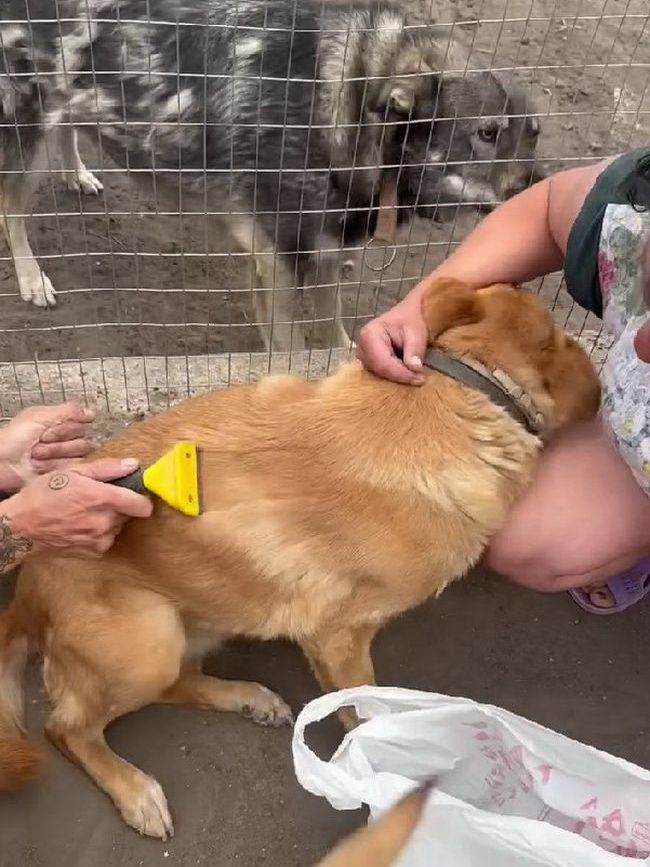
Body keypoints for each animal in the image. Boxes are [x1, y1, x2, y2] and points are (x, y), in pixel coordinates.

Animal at [0, 0, 541, 349]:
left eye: (532, 132)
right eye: (487, 133)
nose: (537, 189)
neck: (344, 109)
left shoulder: (323, 254)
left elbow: (334, 328)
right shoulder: (277, 261)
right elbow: (290, 349)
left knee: (68, 132)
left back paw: (77, 174)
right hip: (26, 132)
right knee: (11, 207)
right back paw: (31, 277)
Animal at [0, 278, 600, 838]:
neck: (461, 385)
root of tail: (24, 594)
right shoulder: (339, 638)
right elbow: (361, 706)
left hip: (195, 620)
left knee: (178, 682)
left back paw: (245, 697)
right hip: (148, 639)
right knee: (66, 729)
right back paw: (134, 790)